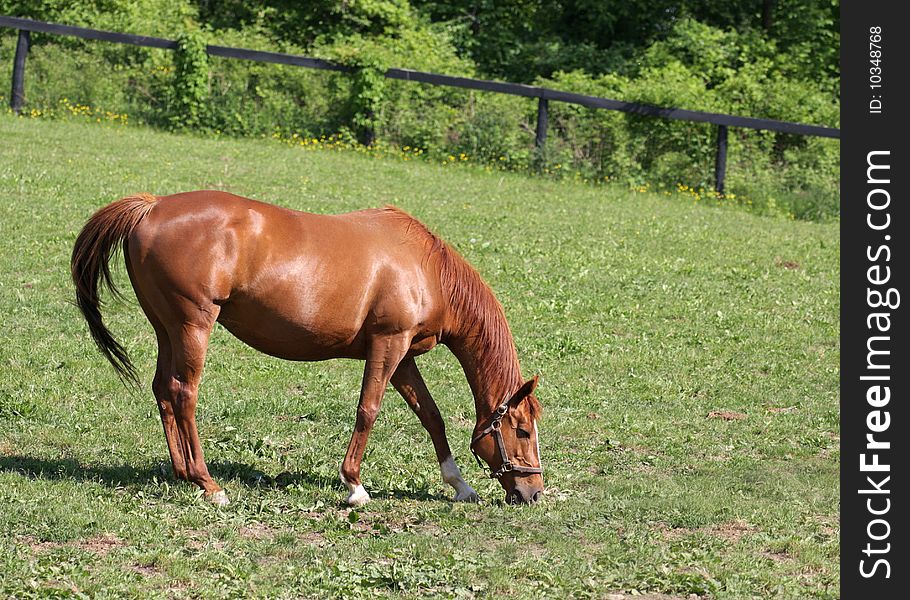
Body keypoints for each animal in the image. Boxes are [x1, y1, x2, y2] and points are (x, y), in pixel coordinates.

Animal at [71, 191, 544, 506]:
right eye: (522, 430)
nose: (534, 491)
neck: (426, 269)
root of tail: (152, 206)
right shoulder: (388, 344)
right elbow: (368, 410)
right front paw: (354, 486)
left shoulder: (404, 356)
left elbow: (431, 416)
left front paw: (460, 484)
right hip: (193, 326)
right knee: (183, 393)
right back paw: (209, 484)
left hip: (166, 329)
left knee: (163, 391)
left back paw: (182, 473)